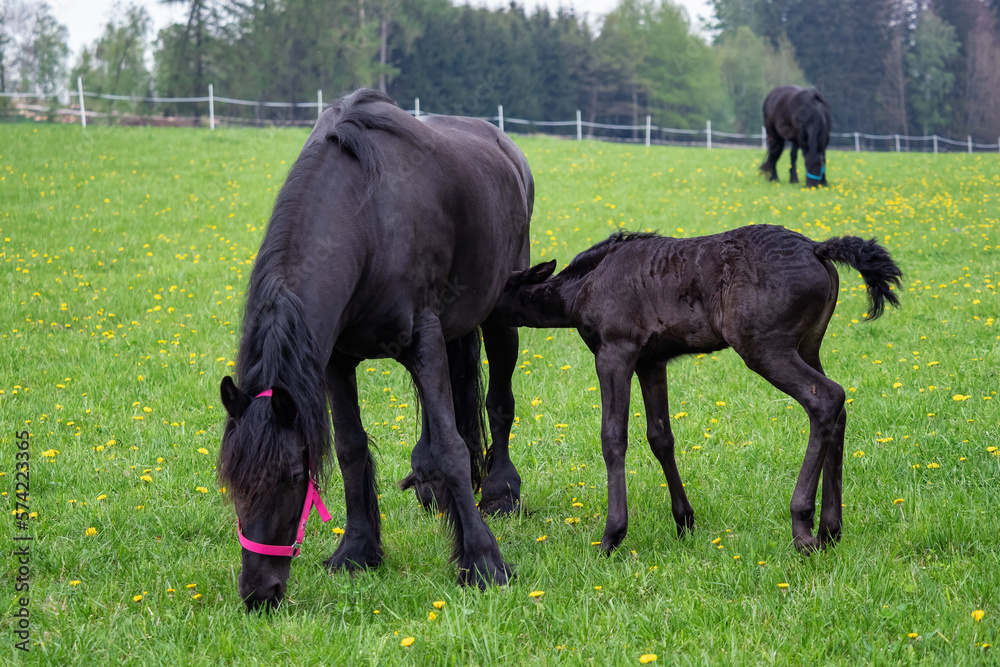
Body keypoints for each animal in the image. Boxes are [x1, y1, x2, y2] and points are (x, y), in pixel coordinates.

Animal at [217, 89, 533, 611]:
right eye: (232, 483)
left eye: (293, 478)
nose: (260, 592)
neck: (367, 219)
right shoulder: (335, 362)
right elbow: (352, 448)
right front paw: (359, 549)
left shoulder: (423, 339)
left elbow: (452, 447)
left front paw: (483, 561)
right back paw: (433, 486)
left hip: (500, 315)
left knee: (498, 403)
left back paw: (500, 492)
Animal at [495, 224, 901, 554]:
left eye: (496, 289)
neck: (587, 283)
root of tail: (817, 248)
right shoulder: (651, 362)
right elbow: (660, 437)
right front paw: (684, 521)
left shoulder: (615, 353)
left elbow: (613, 439)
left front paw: (612, 536)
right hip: (807, 347)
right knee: (839, 410)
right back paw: (831, 530)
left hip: (766, 348)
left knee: (826, 399)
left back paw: (803, 526)